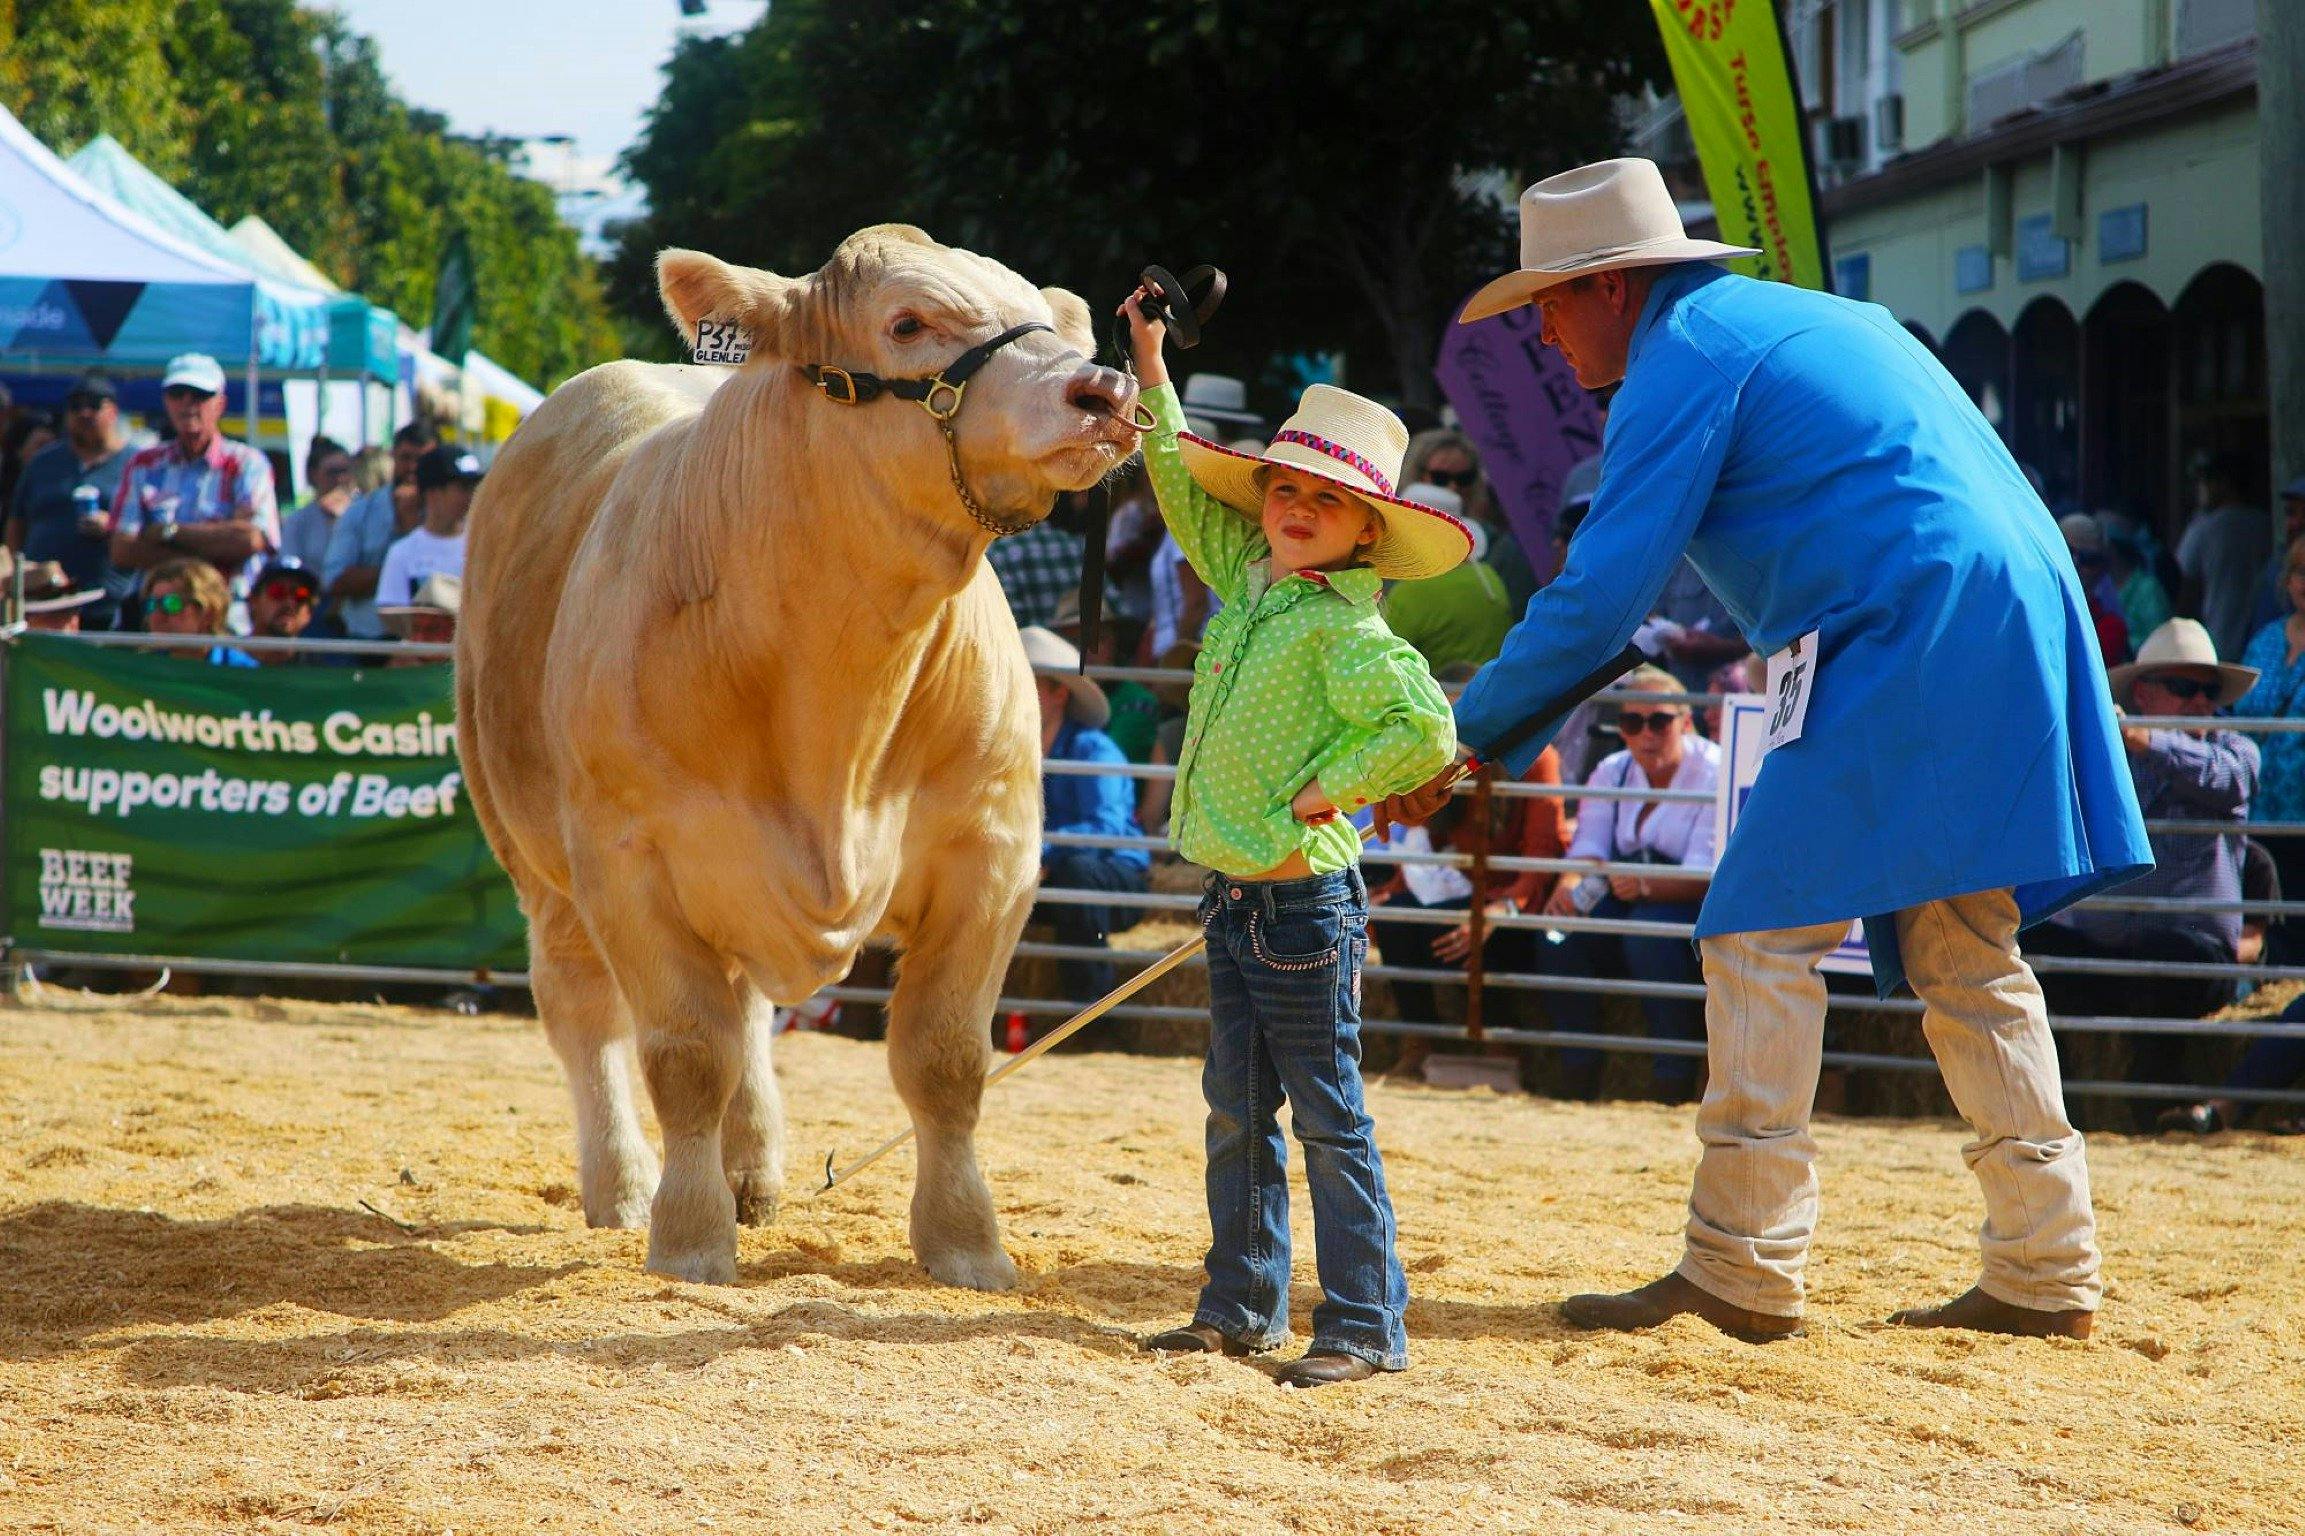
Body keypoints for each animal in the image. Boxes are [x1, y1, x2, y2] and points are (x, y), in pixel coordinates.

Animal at [456, 226, 1143, 1286]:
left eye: (1051, 318)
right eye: (907, 322)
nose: (1102, 389)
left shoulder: (995, 852)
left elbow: (943, 1060)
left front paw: (966, 1246)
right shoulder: (628, 863)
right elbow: (682, 1056)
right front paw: (689, 1240)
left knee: (746, 1018)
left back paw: (754, 1175)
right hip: (535, 858)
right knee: (586, 1015)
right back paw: (623, 1187)